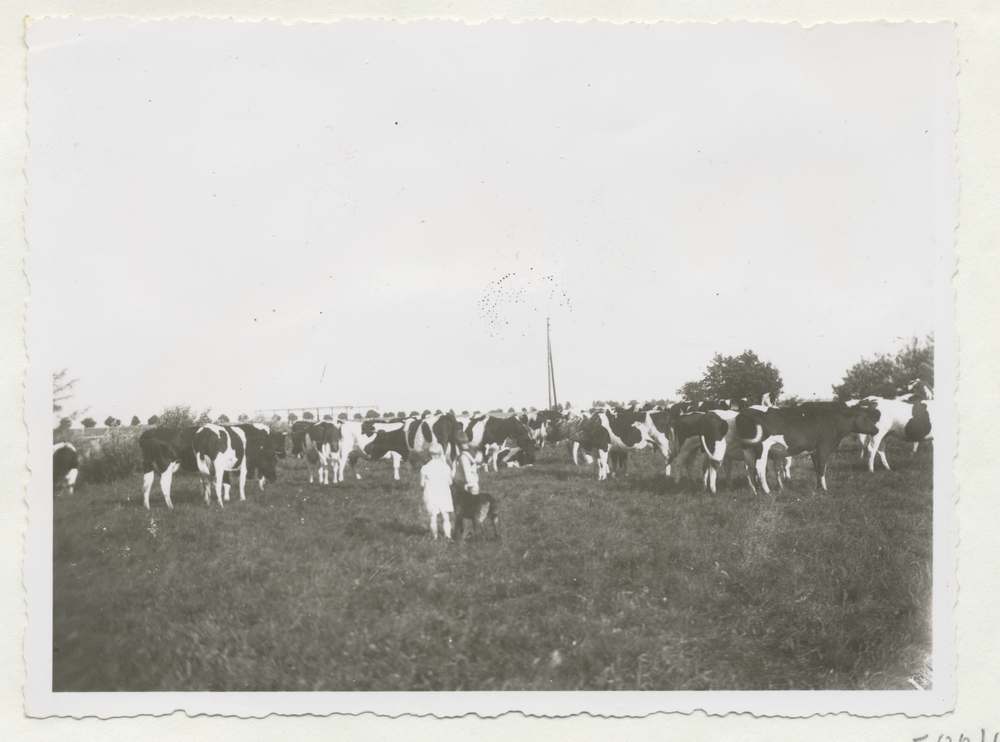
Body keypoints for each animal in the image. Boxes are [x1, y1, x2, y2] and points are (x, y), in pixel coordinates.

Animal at [732, 402, 880, 494]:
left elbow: (816, 468)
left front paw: (818, 486)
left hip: (748, 447)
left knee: (749, 468)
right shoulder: (824, 447)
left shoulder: (814, 451)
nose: (877, 430)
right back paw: (767, 491)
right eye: (865, 418)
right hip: (761, 447)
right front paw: (825, 488)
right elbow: (822, 468)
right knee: (760, 468)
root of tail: (746, 410)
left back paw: (754, 491)